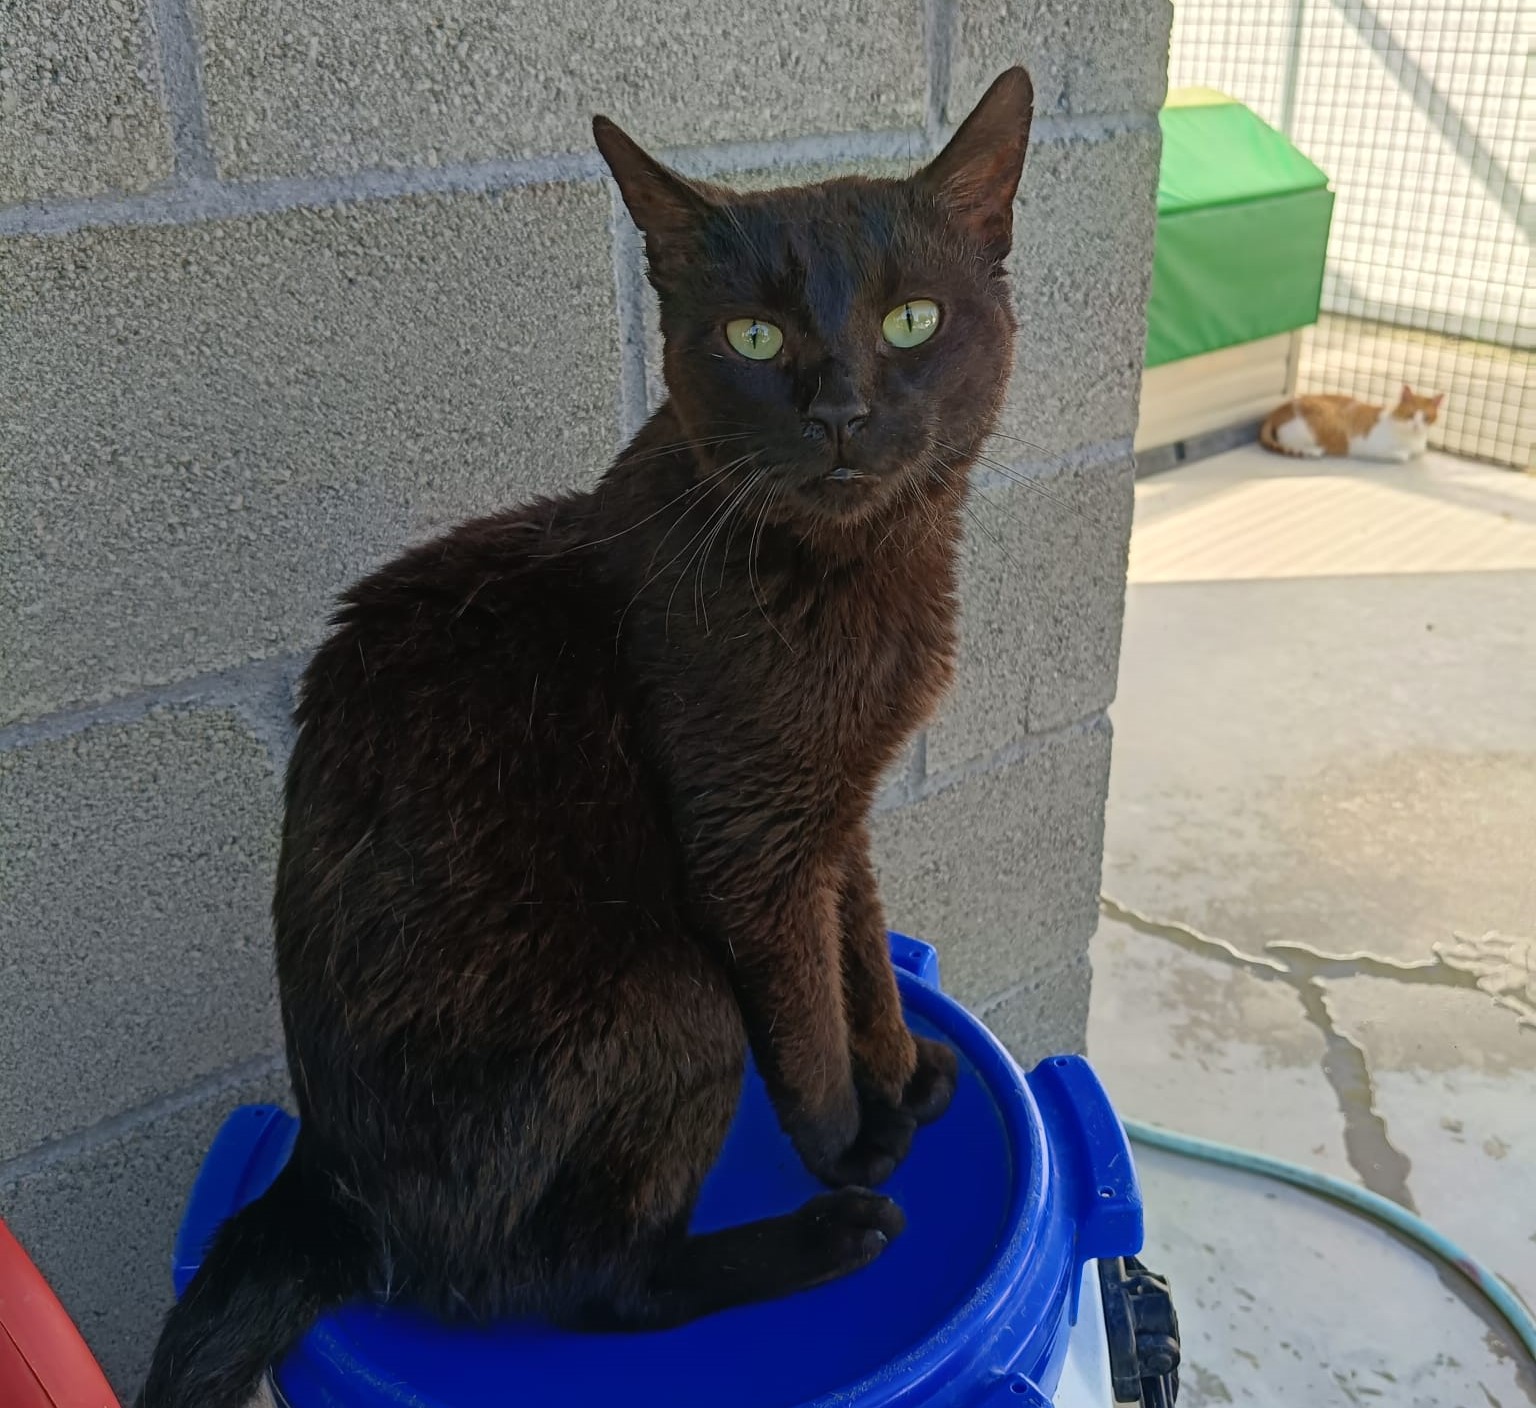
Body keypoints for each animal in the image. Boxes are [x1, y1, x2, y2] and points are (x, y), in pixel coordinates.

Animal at [137, 66, 1035, 1408]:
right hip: (675, 996)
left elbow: (864, 949)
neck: (857, 576)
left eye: (914, 321)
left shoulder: (837, 814)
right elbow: (805, 1018)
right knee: (593, 1286)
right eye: (754, 338)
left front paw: (903, 1065)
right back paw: (829, 1232)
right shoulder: (751, 850)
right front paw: (849, 1142)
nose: (842, 411)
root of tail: (327, 1191)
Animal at [1260, 385, 1445, 462]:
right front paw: (1403, 453)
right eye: (1410, 415)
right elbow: (1402, 455)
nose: (1417, 426)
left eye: (1426, 418)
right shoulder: (1373, 447)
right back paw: (1312, 450)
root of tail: (1278, 411)